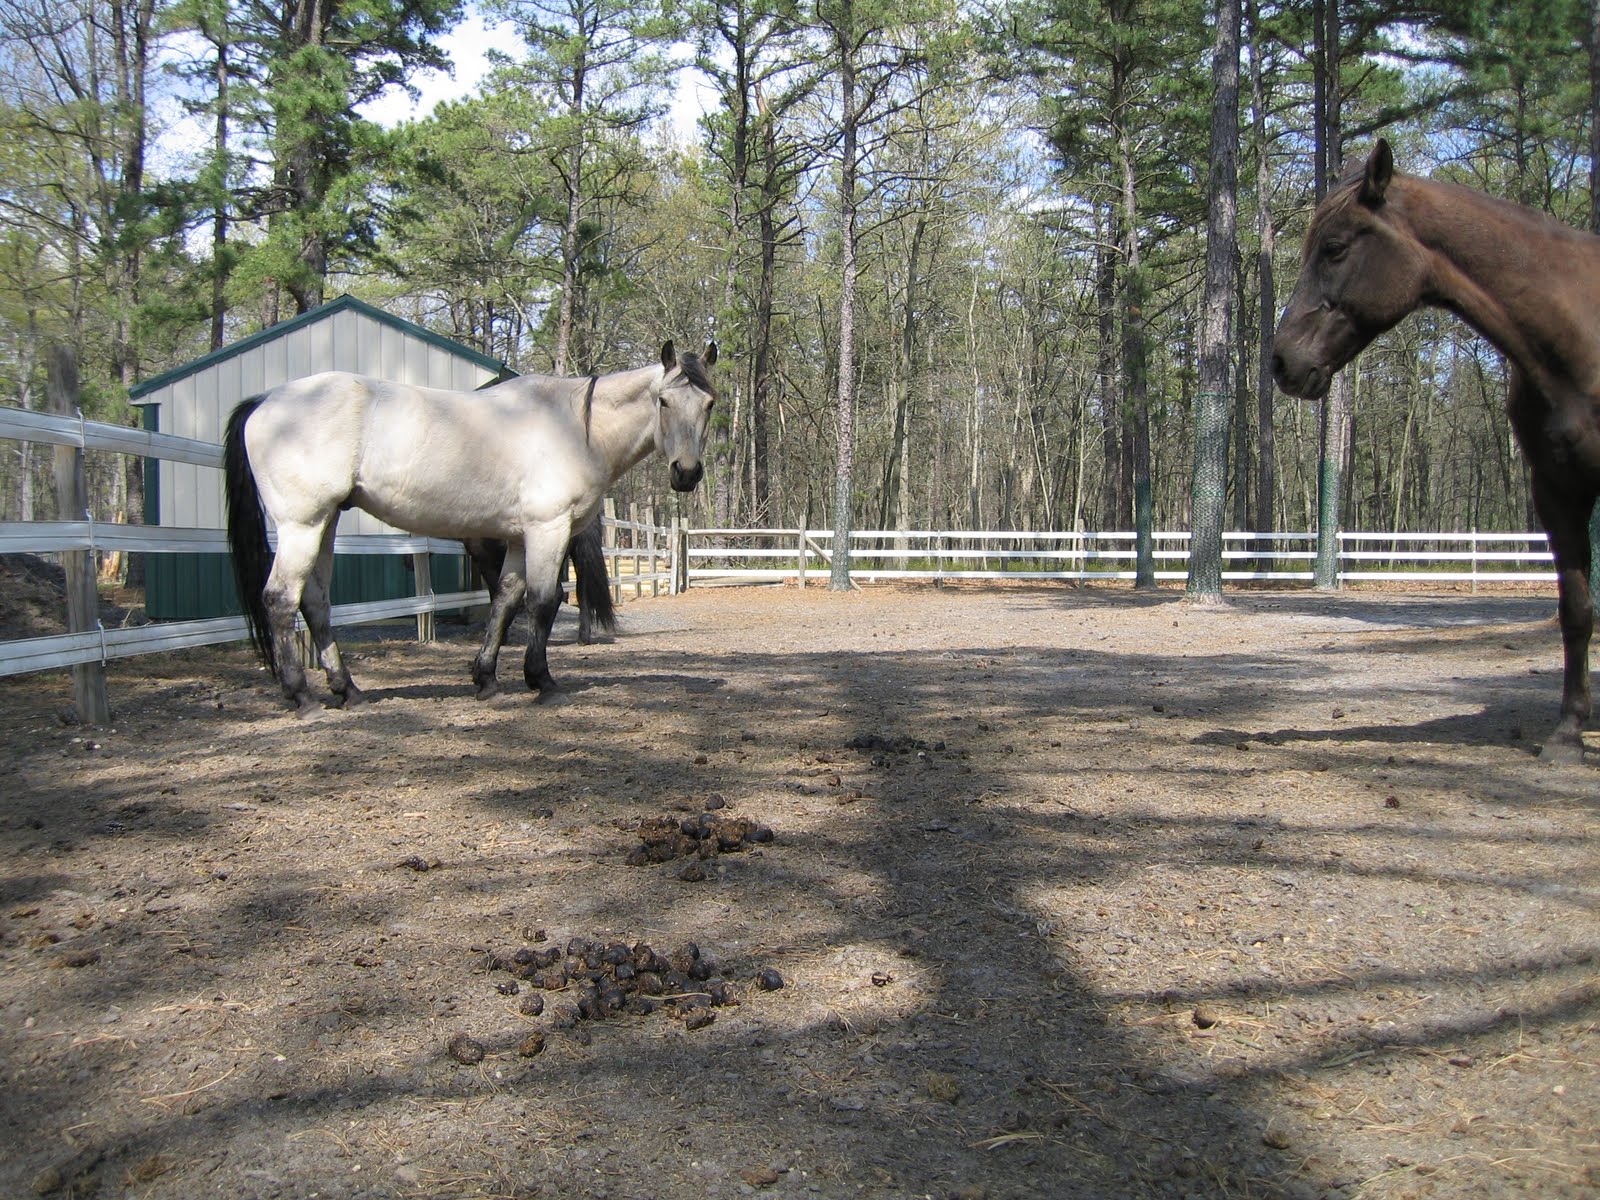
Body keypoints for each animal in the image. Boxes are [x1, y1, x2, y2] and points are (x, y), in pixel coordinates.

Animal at [224, 341, 716, 716]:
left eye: (709, 404)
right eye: (664, 401)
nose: (687, 473)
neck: (576, 427)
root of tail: (265, 399)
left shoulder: (519, 537)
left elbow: (505, 600)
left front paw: (486, 678)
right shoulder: (548, 529)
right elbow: (544, 601)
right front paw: (542, 681)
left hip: (325, 522)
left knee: (316, 602)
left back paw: (349, 691)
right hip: (302, 524)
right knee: (280, 599)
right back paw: (302, 697)